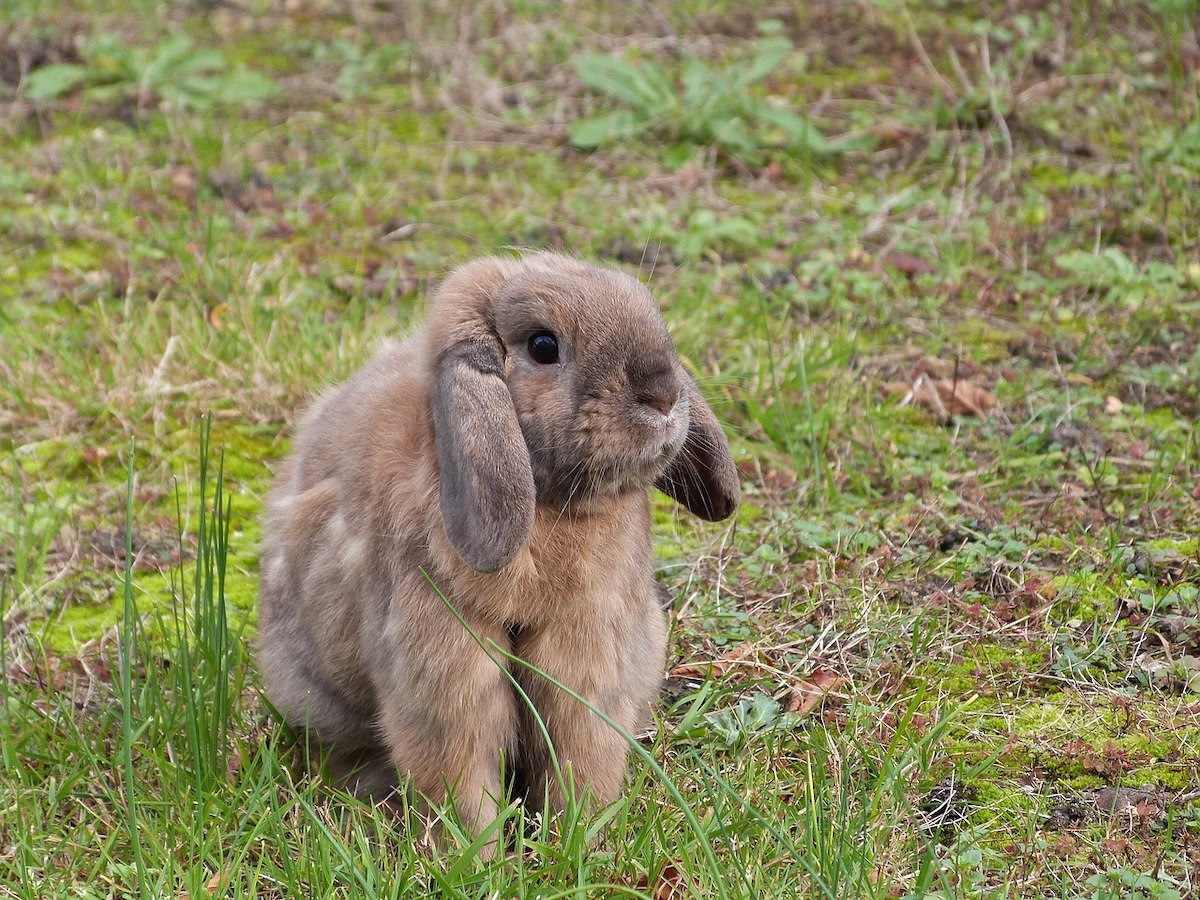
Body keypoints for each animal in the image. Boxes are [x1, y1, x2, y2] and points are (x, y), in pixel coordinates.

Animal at [257, 252, 739, 850]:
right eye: (543, 345)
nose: (664, 396)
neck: (550, 503)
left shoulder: (588, 658)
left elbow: (581, 751)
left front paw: (574, 839)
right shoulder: (444, 675)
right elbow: (461, 768)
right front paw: (476, 854)